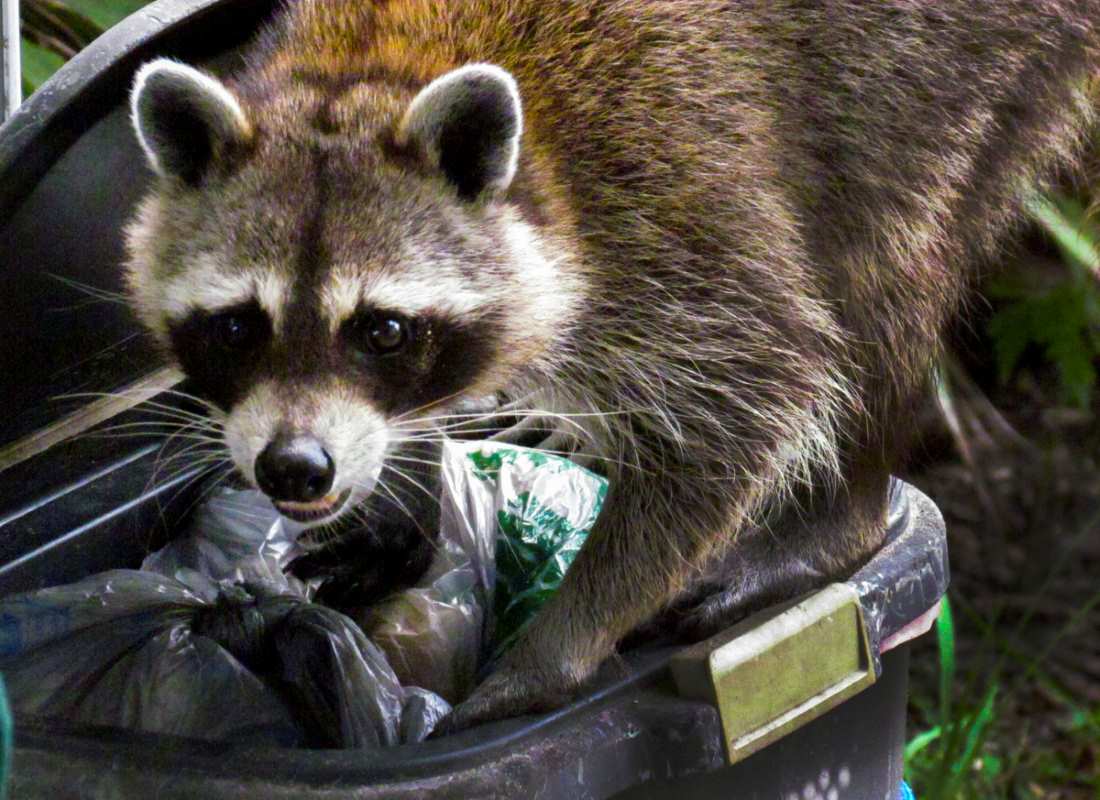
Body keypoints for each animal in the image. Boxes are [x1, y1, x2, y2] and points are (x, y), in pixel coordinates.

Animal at [122, 0, 1100, 730]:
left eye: (383, 331)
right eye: (239, 327)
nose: (294, 467)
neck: (372, 65)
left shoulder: (671, 206)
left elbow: (759, 388)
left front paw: (557, 648)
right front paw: (409, 493)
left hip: (944, 74)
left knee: (882, 266)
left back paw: (839, 517)